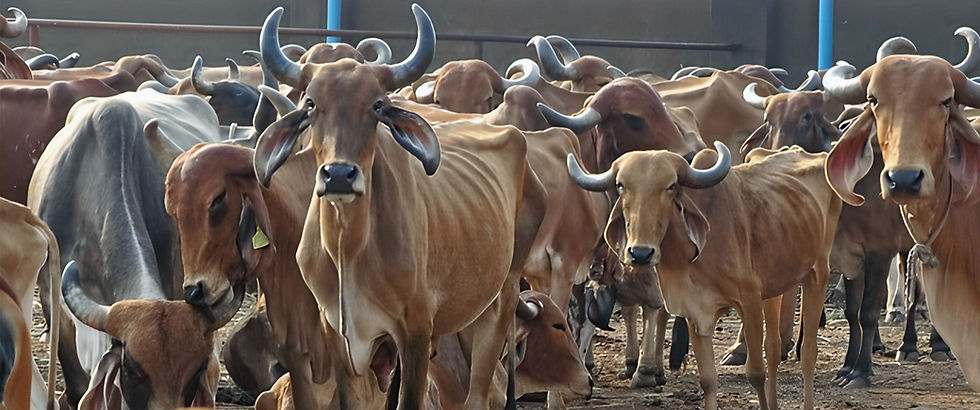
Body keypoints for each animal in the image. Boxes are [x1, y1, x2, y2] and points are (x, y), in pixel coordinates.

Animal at [254, 5, 548, 407]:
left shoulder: (415, 331)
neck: (349, 248)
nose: (339, 175)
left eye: (377, 105)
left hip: (501, 297)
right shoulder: (338, 335)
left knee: (480, 392)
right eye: (311, 104)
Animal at [567, 143, 840, 410]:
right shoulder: (695, 311)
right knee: (773, 348)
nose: (641, 253)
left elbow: (755, 373)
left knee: (808, 352)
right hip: (776, 287)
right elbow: (708, 379)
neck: (691, 255)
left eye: (671, 186)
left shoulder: (749, 302)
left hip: (817, 273)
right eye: (621, 185)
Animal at [822, 31, 980, 390]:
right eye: (874, 100)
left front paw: (862, 370)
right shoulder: (851, 253)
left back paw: (928, 346)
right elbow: (852, 311)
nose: (903, 179)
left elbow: (869, 310)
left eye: (946, 101)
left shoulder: (878, 250)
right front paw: (845, 366)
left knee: (917, 297)